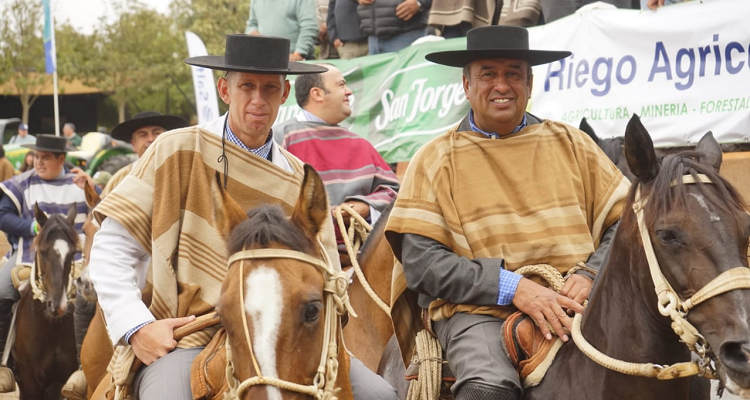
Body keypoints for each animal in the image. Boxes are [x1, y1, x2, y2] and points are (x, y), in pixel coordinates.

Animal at [15, 205, 79, 398]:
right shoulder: (29, 382)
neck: (51, 328)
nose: (58, 306)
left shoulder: (63, 380)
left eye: (72, 253)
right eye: (43, 252)